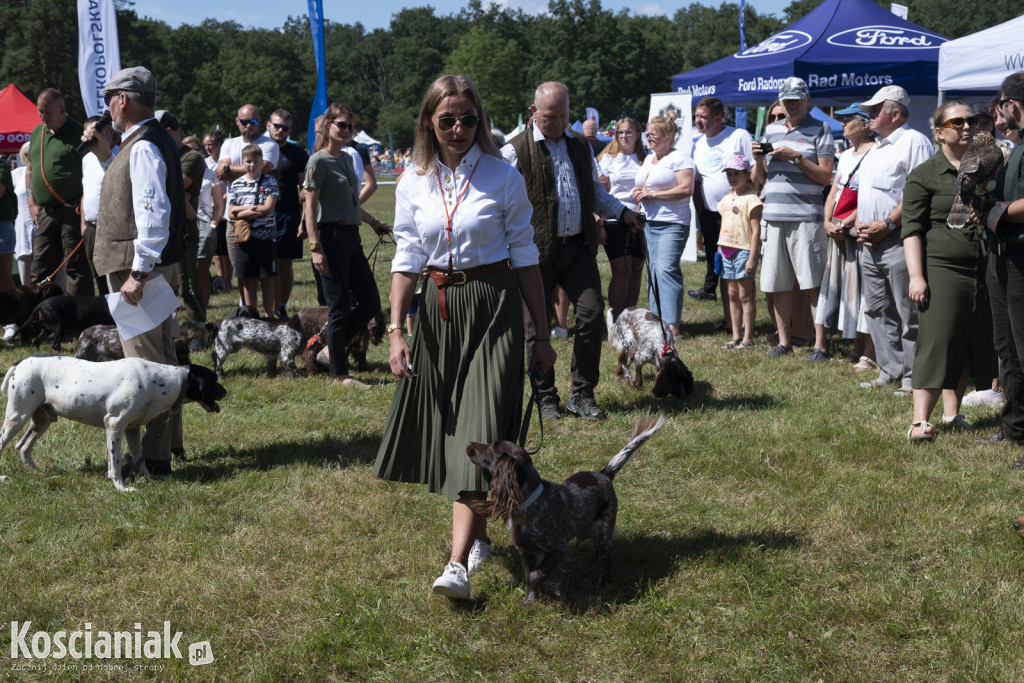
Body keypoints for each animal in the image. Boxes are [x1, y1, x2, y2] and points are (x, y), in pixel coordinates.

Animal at [0, 358, 226, 491]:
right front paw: (120, 486)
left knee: (22, 447)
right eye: (214, 380)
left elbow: (138, 457)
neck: (161, 380)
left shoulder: (132, 429)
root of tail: (20, 363)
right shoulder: (114, 424)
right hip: (16, 418)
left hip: (43, 420)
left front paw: (147, 477)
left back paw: (35, 472)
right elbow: (115, 462)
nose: (226, 391)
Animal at [466, 411, 663, 602]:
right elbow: (530, 576)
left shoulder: (559, 549)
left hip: (604, 532)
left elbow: (537, 575)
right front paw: (531, 600)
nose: (468, 443)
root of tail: (604, 474)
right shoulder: (526, 552)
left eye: (492, 447)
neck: (529, 505)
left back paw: (601, 583)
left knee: (606, 561)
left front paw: (552, 591)